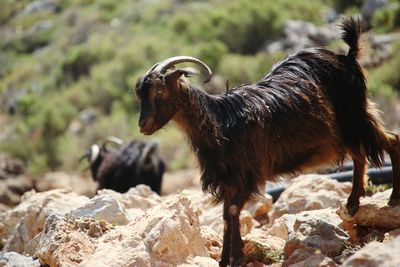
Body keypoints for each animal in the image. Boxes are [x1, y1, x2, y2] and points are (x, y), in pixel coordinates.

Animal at [134, 17, 400, 266]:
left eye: (159, 91)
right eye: (139, 94)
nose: (143, 125)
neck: (220, 122)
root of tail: (347, 57)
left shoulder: (249, 173)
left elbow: (232, 212)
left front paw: (237, 256)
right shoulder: (227, 179)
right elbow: (226, 215)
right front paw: (224, 258)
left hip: (355, 116)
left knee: (391, 142)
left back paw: (392, 199)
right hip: (348, 128)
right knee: (360, 154)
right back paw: (353, 203)